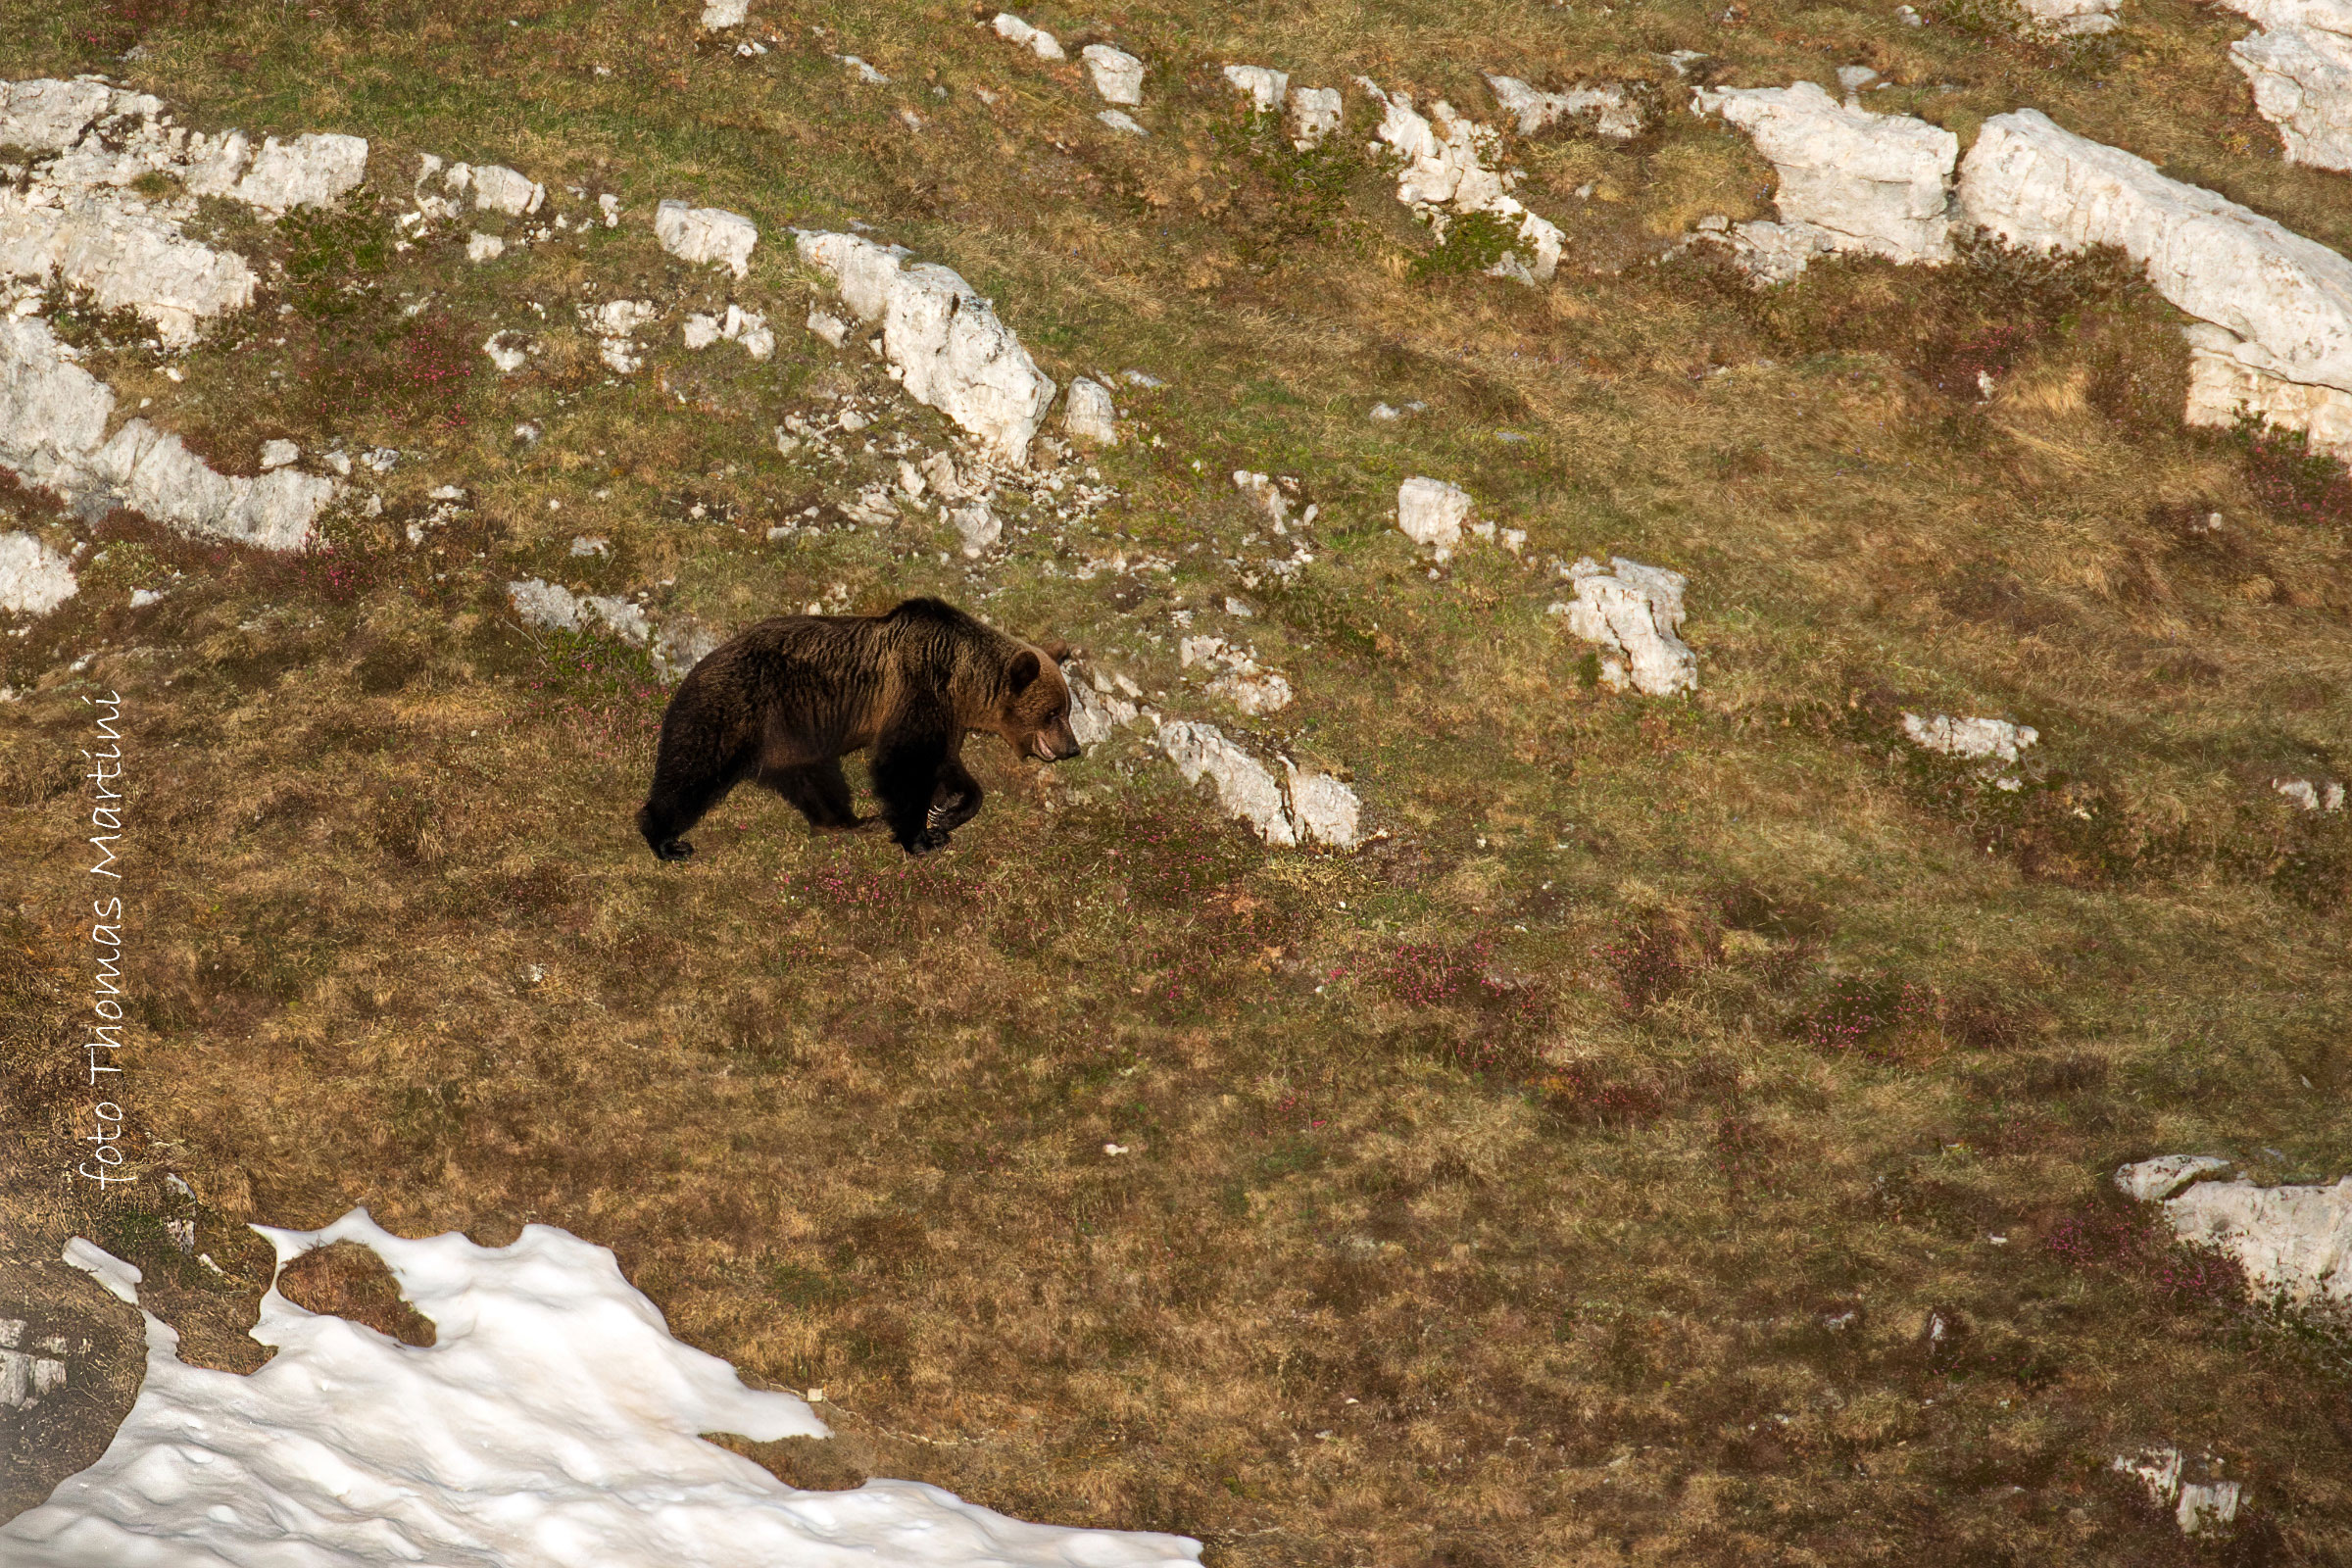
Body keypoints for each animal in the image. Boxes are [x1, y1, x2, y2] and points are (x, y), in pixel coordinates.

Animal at [636, 597, 1081, 861]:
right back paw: (667, 839)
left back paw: (847, 823)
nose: (1073, 748)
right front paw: (920, 837)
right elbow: (901, 764)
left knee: (819, 784)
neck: (961, 680)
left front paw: (946, 812)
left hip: (794, 742)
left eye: (1067, 708)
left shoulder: (946, 716)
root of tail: (699, 664)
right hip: (732, 708)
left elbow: (948, 767)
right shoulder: (917, 687)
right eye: (1054, 712)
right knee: (692, 770)